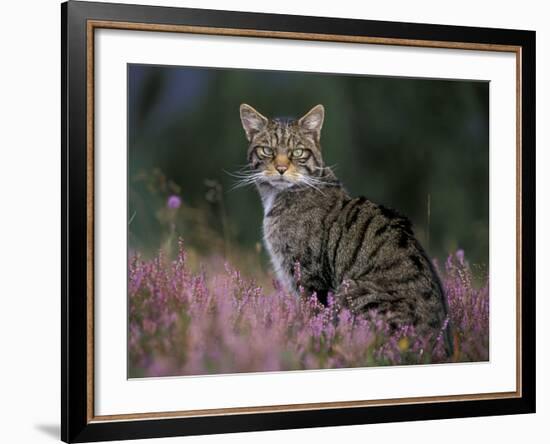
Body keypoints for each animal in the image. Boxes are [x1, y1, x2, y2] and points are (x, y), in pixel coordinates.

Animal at [239, 103, 454, 350]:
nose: (281, 168)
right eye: (267, 150)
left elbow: (313, 318)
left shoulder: (310, 279)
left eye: (298, 152)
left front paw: (308, 342)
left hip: (352, 291)